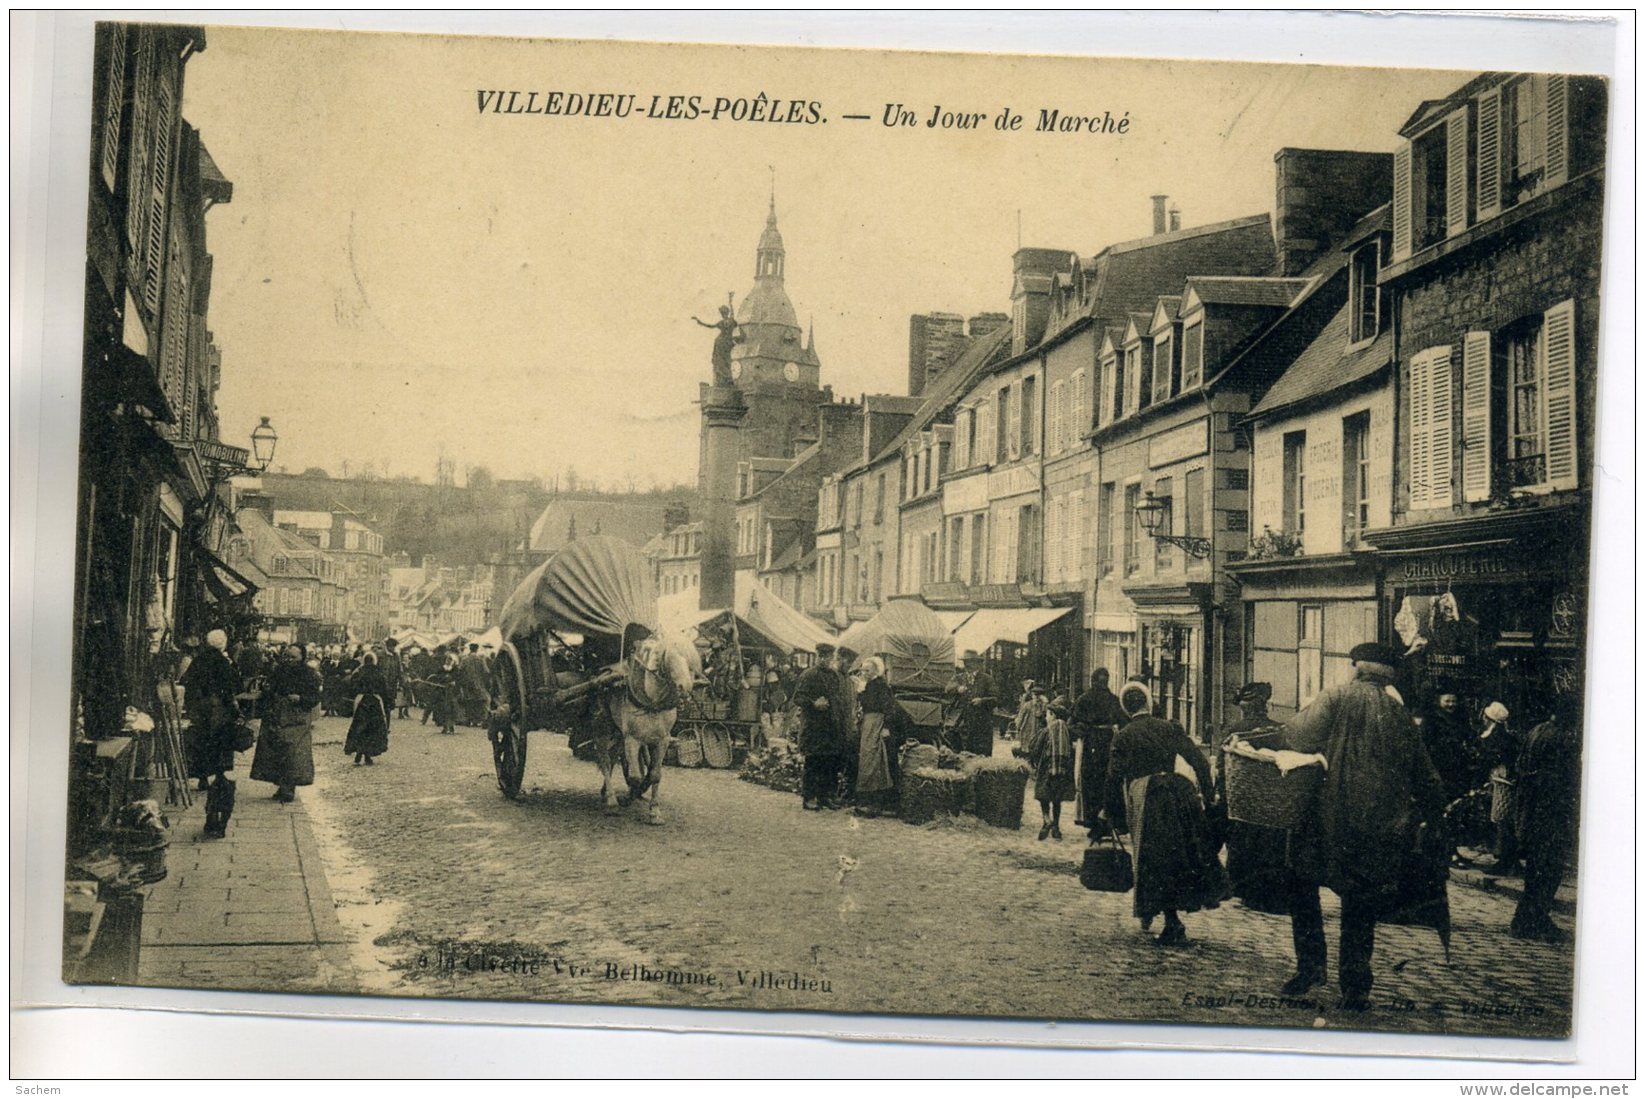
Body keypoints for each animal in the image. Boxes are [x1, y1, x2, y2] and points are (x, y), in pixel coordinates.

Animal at [595, 635, 697, 822]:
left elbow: (655, 775)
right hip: (604, 728)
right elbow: (635, 777)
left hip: (619, 734)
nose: (685, 687)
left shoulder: (662, 741)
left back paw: (605, 792)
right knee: (605, 760)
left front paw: (654, 811)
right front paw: (627, 798)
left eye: (691, 660)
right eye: (669, 656)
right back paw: (612, 801)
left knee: (612, 758)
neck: (652, 703)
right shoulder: (632, 739)